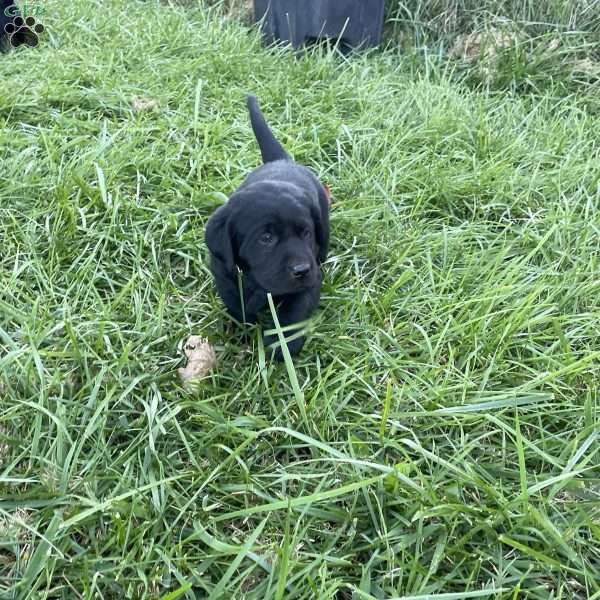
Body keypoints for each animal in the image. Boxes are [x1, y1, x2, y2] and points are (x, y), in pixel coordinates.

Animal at [205, 96, 328, 358]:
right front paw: (244, 327)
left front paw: (282, 346)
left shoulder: (311, 281)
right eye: (266, 238)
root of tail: (283, 161)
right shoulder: (223, 273)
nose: (302, 270)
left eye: (306, 233)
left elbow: (295, 312)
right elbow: (236, 302)